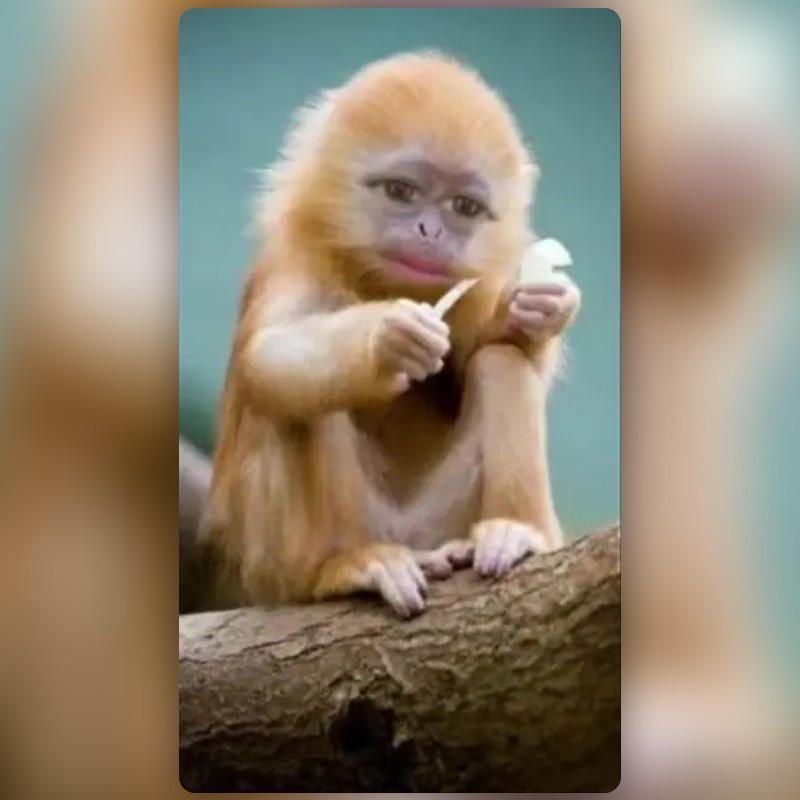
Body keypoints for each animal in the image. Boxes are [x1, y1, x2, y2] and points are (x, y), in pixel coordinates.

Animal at [200, 52, 581, 618]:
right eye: (402, 192)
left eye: (463, 207)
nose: (430, 231)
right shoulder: (293, 267)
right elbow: (270, 359)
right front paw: (388, 338)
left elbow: (489, 351)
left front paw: (541, 308)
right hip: (274, 565)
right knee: (307, 399)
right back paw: (346, 565)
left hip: (440, 521)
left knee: (500, 361)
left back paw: (517, 532)